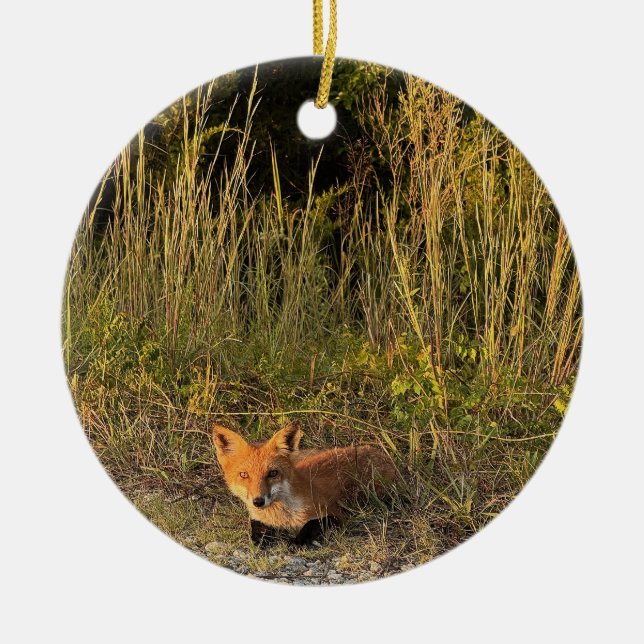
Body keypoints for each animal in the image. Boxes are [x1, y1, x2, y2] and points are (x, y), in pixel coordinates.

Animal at [212, 421, 398, 547]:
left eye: (273, 473)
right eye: (244, 475)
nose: (258, 501)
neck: (283, 518)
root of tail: (380, 453)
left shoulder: (335, 513)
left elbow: (312, 524)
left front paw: (297, 541)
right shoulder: (258, 519)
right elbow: (256, 529)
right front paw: (263, 539)